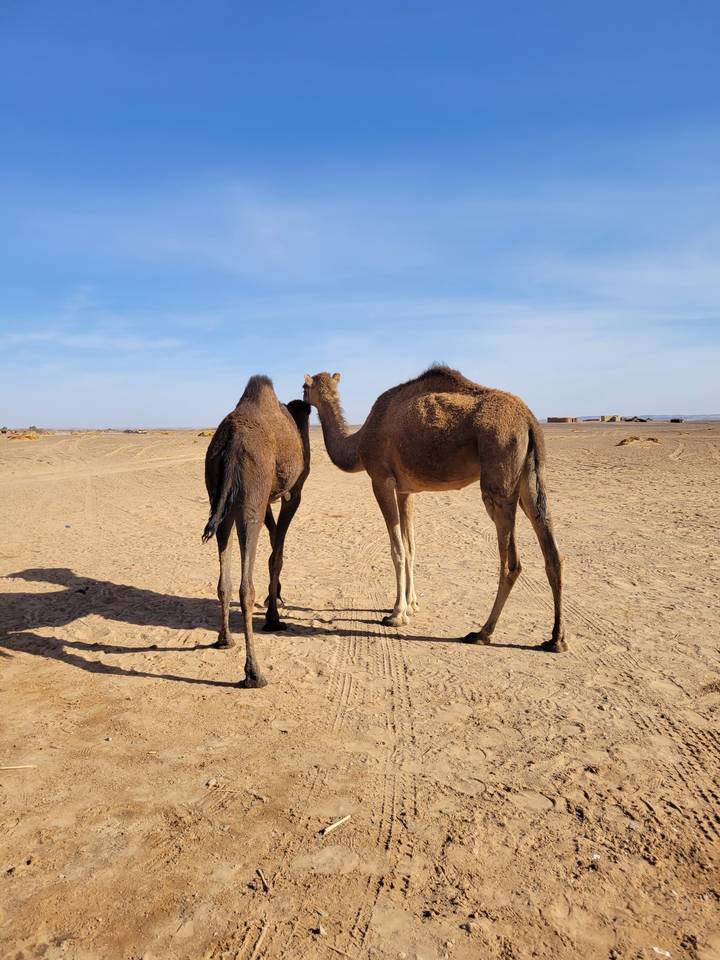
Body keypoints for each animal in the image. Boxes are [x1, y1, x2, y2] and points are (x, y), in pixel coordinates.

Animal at [202, 376, 311, 686]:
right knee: (244, 587)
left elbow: (275, 540)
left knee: (224, 581)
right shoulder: (291, 494)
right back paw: (254, 672)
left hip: (221, 501)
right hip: (250, 498)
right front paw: (274, 617)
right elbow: (277, 555)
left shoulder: (267, 499)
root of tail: (231, 443)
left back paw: (224, 640)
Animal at [303, 365, 566, 652]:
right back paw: (556, 639)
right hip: (531, 476)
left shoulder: (381, 480)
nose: (302, 402)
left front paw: (397, 614)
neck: (359, 443)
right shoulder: (405, 490)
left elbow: (397, 549)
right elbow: (410, 546)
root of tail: (529, 420)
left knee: (511, 563)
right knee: (551, 551)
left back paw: (482, 632)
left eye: (304, 387)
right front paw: (412, 604)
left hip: (499, 473)